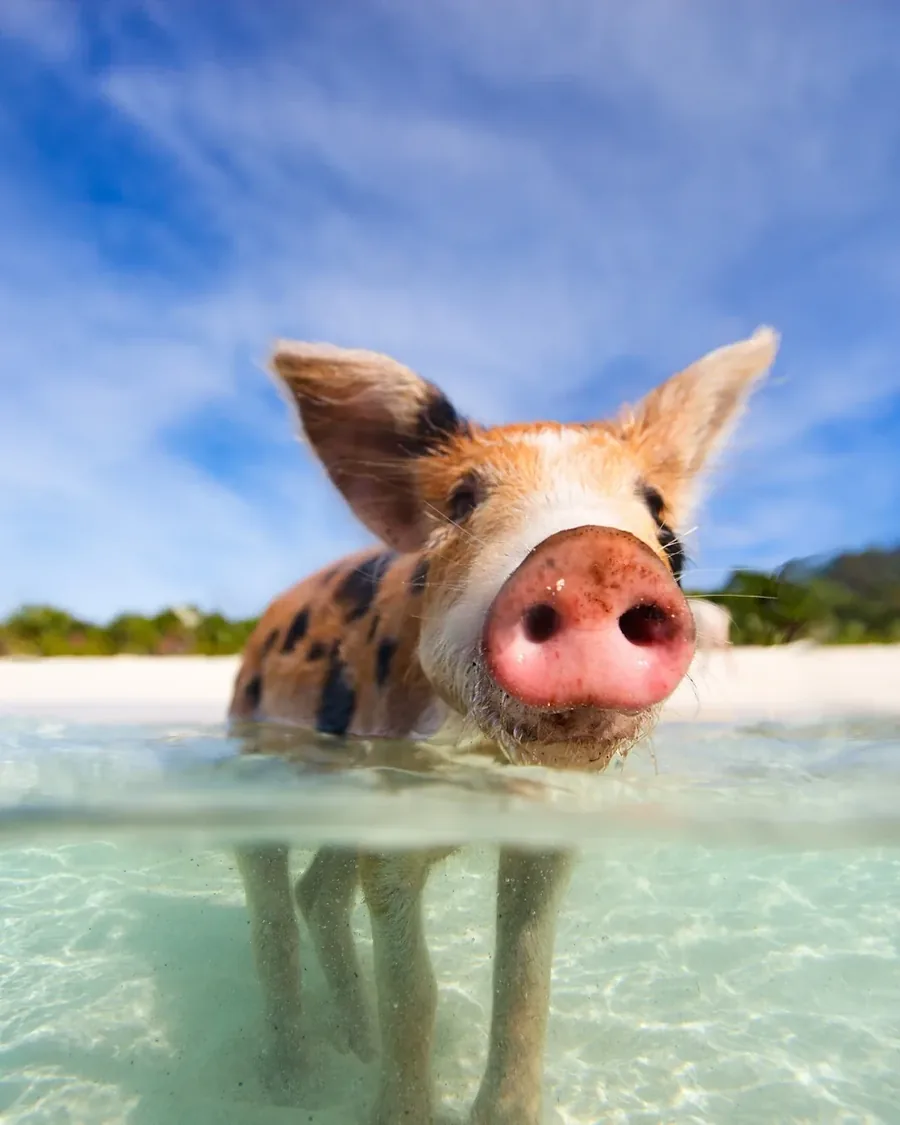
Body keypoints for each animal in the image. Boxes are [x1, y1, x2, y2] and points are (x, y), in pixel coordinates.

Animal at [229, 326, 779, 1124]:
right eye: (462, 500)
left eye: (658, 511)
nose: (592, 555)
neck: (487, 761)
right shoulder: (393, 818)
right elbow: (415, 994)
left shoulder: (544, 825)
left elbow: (523, 985)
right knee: (271, 899)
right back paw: (290, 1081)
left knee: (318, 893)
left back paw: (351, 1044)